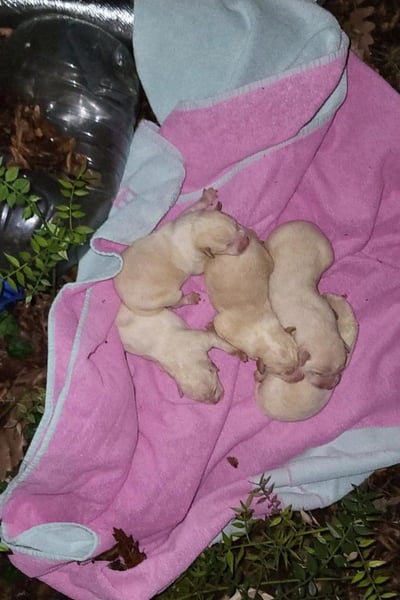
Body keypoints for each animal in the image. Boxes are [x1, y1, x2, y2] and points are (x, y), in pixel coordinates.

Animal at [114, 188, 249, 312]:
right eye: (228, 245)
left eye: (237, 225)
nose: (246, 242)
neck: (192, 232)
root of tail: (126, 301)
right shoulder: (195, 264)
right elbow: (203, 265)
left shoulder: (187, 216)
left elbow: (194, 207)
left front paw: (207, 197)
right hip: (168, 297)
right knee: (175, 304)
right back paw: (189, 298)